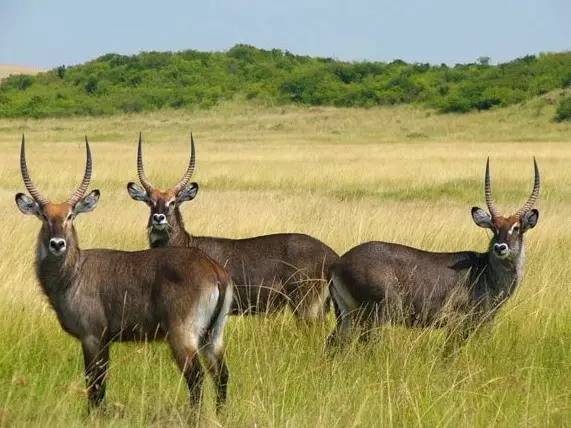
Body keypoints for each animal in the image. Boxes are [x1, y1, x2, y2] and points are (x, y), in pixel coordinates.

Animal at [15, 137, 235, 412]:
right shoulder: (104, 341)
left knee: (196, 378)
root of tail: (213, 268)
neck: (73, 273)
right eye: (44, 216)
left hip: (183, 336)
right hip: (213, 336)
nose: (57, 244)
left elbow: (95, 387)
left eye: (70, 215)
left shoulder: (92, 337)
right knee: (222, 375)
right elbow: (98, 387)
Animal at [127, 135, 338, 320]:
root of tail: (332, 254)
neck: (187, 243)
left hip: (306, 305)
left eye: (173, 202)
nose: (158, 218)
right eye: (150, 202)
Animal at [328, 159, 544, 346]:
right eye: (493, 228)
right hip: (374, 315)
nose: (500, 247)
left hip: (347, 315)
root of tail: (340, 263)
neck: (486, 273)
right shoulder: (458, 323)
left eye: (517, 228)